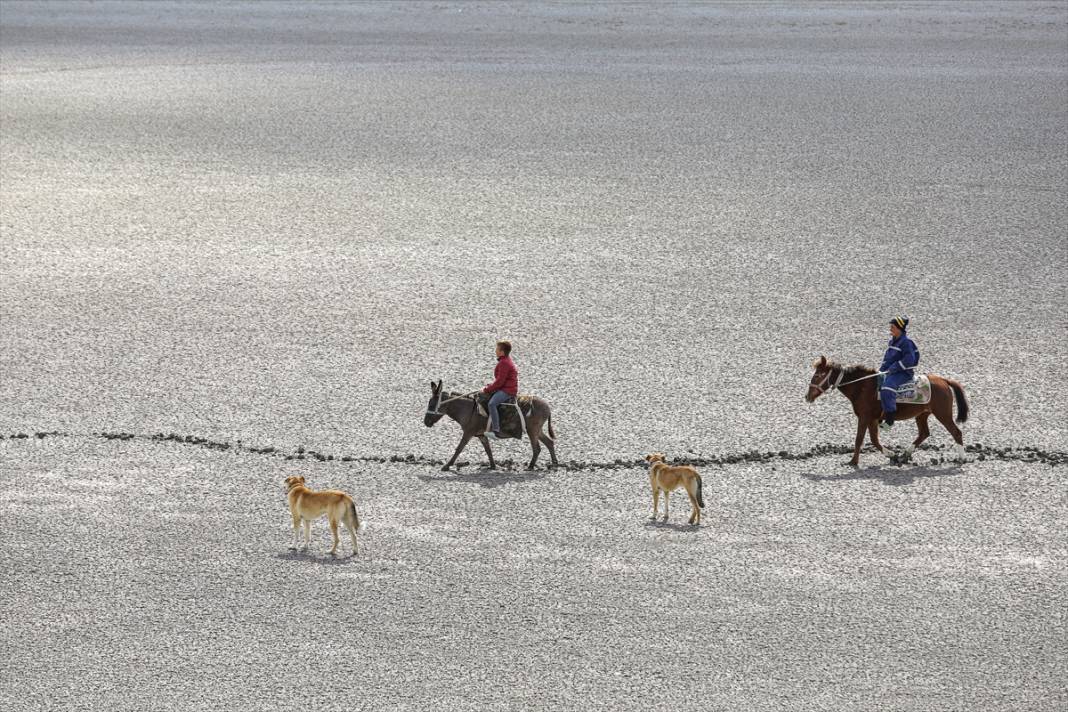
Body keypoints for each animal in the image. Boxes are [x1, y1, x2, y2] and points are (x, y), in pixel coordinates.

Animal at [422, 377, 559, 473]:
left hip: (532, 430)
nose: (425, 422)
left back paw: (531, 466)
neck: (468, 409)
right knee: (549, 442)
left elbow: (459, 448)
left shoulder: (468, 433)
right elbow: (488, 450)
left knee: (537, 448)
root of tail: (548, 407)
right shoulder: (481, 435)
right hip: (537, 431)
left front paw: (446, 466)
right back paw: (554, 463)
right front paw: (492, 466)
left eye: (431, 404)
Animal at [803, 356, 974, 467]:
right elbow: (874, 440)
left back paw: (962, 458)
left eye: (818, 375)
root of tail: (944, 381)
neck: (862, 386)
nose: (807, 396)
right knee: (924, 433)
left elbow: (859, 439)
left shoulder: (864, 417)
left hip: (943, 414)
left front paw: (853, 462)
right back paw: (904, 455)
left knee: (956, 432)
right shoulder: (871, 419)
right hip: (922, 414)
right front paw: (891, 454)